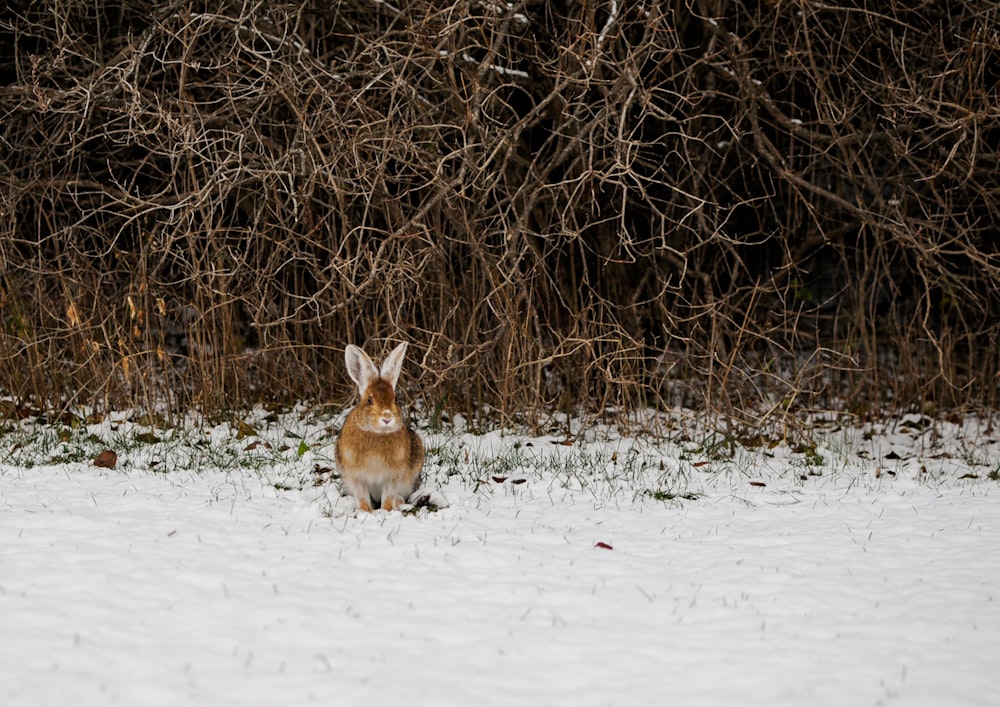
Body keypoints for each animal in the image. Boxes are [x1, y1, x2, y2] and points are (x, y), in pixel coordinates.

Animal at [334, 344, 424, 516]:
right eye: (369, 400)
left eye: (395, 399)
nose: (387, 417)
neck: (377, 433)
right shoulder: (356, 476)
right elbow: (362, 495)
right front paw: (364, 511)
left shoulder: (392, 476)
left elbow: (388, 495)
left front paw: (386, 510)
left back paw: (399, 502)